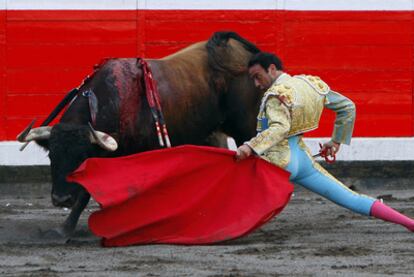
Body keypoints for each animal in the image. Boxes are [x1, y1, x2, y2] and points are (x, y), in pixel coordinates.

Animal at [17, 30, 264, 237]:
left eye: (82, 158)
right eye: (52, 156)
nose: (61, 199)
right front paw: (65, 229)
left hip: (246, 126)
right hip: (210, 132)